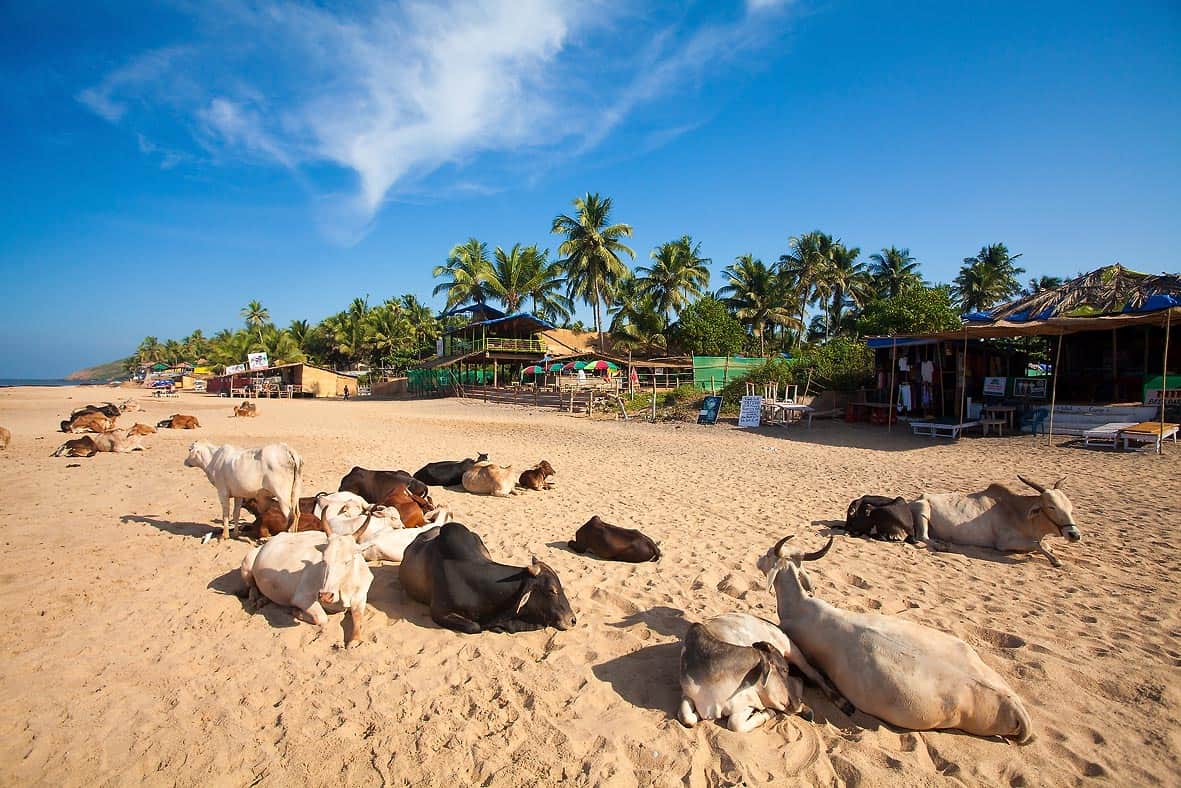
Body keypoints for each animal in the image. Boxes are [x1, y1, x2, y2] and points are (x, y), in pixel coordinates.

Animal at [237, 517, 370, 647]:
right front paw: (296, 611)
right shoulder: (302, 598)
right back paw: (256, 598)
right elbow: (322, 618)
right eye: (323, 560)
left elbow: (358, 617)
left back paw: (263, 600)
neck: (343, 588)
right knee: (252, 586)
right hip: (247, 563)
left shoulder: (360, 597)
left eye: (348, 561)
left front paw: (355, 639)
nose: (325, 596)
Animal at [911, 474, 1081, 567]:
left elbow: (1044, 545)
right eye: (1052, 507)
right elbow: (1036, 545)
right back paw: (942, 546)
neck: (1019, 513)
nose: (1074, 534)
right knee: (922, 536)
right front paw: (1055, 560)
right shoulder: (1003, 543)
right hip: (923, 510)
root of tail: (919, 497)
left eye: (1069, 506)